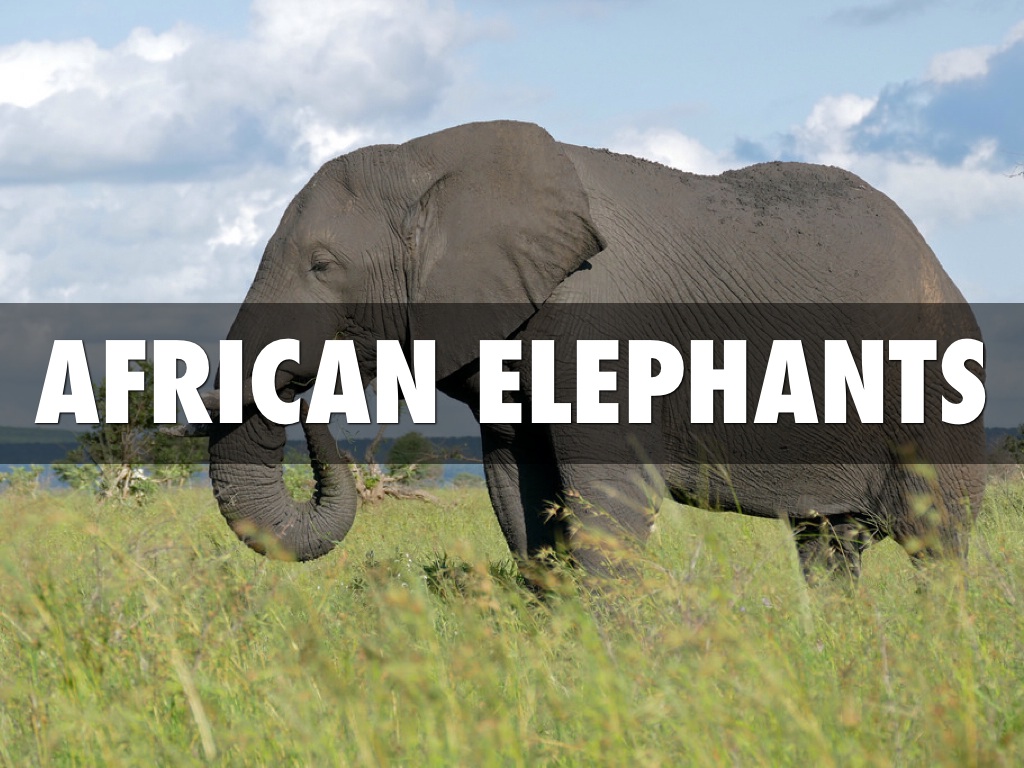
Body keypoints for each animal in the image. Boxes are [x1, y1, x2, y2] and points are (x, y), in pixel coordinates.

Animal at [204, 120, 985, 583]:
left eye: (323, 266)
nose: (310, 397)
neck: (431, 162)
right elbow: (520, 494)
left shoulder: (603, 319)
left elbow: (607, 499)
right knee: (828, 546)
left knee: (936, 542)